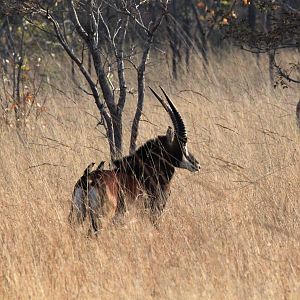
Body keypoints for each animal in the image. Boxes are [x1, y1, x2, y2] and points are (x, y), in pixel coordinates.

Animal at [69, 86, 199, 232]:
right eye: (183, 143)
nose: (196, 164)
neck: (147, 169)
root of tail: (88, 180)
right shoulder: (155, 211)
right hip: (102, 217)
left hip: (78, 215)